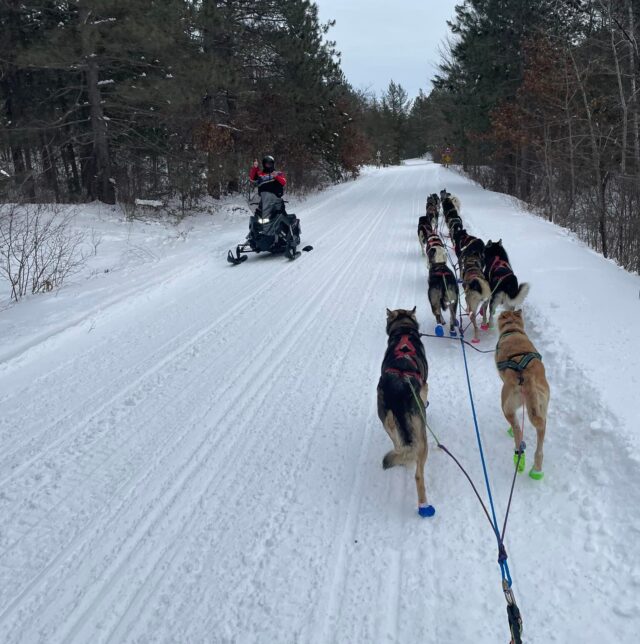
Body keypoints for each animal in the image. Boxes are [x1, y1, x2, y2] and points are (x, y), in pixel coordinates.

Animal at [496, 310, 552, 480]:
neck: (513, 329)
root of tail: (526, 376)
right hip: (541, 410)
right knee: (539, 447)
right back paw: (537, 469)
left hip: (506, 405)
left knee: (516, 429)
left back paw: (519, 457)